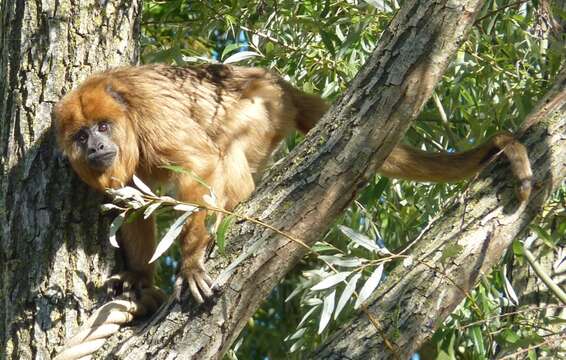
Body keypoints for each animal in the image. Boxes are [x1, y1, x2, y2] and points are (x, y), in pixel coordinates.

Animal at [52, 64, 532, 304]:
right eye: (81, 136)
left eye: (103, 127)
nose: (96, 145)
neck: (125, 118)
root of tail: (272, 79)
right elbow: (131, 204)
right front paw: (137, 275)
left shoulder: (151, 114)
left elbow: (200, 164)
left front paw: (190, 262)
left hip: (260, 108)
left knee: (228, 153)